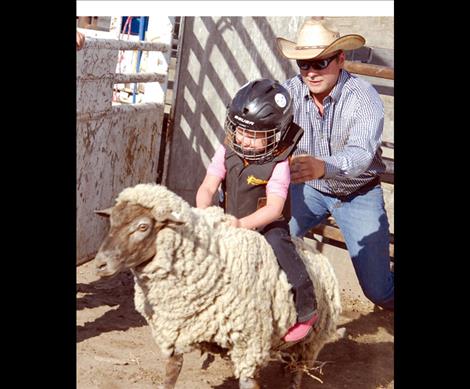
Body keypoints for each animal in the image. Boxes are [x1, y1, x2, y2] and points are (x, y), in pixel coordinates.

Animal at [93, 183, 342, 388]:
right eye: (112, 221)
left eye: (143, 226)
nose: (100, 263)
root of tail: (314, 252)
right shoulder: (174, 332)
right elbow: (171, 374)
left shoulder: (249, 342)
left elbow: (248, 383)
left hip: (311, 340)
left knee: (297, 372)